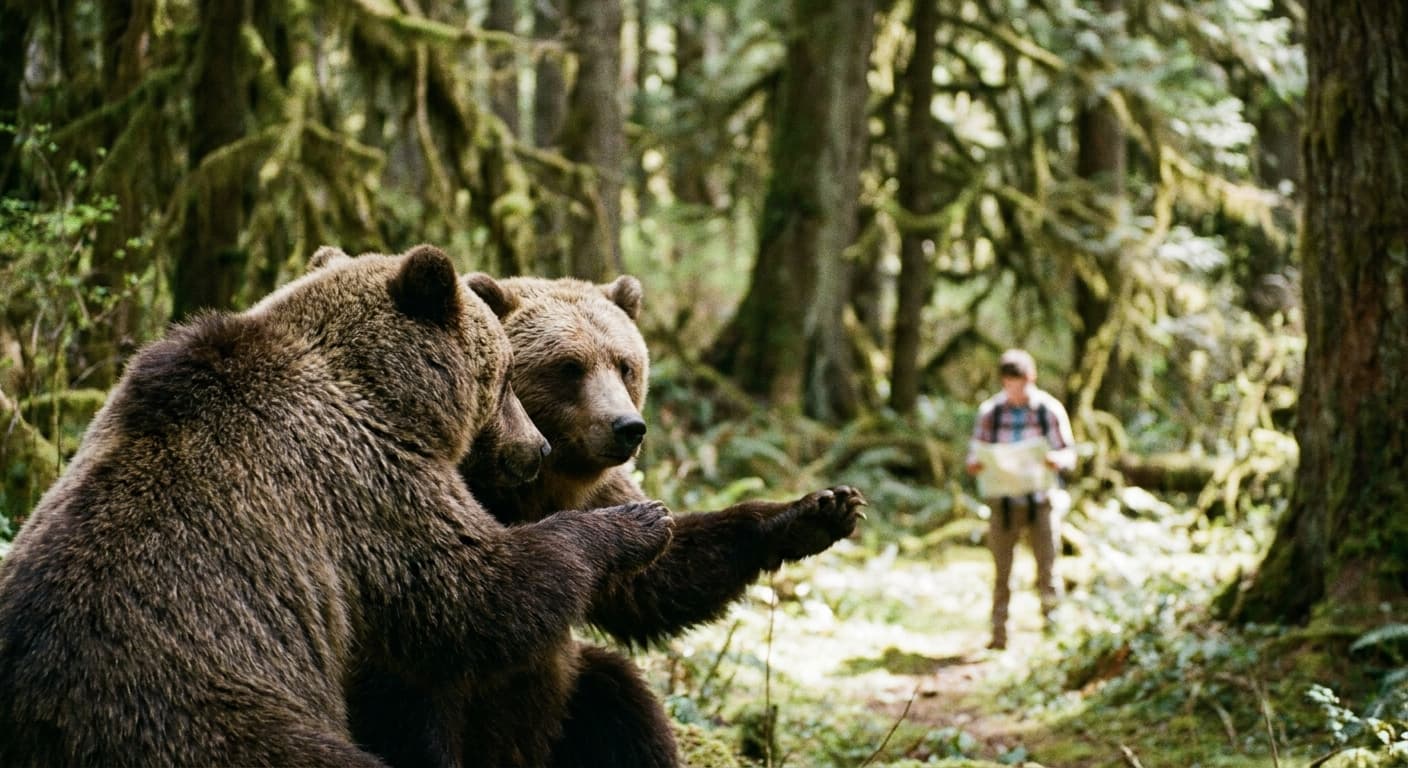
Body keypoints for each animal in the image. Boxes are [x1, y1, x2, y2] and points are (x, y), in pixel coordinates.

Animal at [0, 245, 673, 768]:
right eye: (505, 376)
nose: (536, 447)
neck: (381, 391)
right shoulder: (361, 482)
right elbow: (474, 590)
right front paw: (636, 524)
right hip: (214, 717)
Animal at [350, 274, 866, 768]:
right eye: (568, 366)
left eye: (624, 364)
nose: (627, 426)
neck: (530, 486)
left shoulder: (600, 489)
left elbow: (654, 580)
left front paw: (821, 510)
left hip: (572, 701)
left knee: (625, 705)